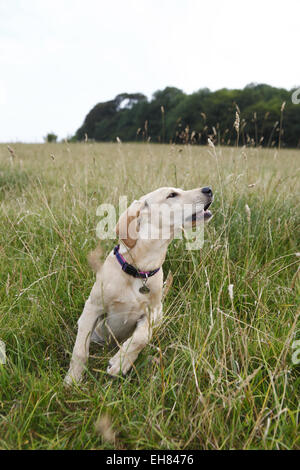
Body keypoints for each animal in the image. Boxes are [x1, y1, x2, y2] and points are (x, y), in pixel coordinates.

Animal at [65, 185, 213, 386]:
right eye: (172, 194)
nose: (209, 189)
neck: (140, 270)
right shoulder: (92, 308)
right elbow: (80, 349)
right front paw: (73, 378)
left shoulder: (153, 312)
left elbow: (141, 337)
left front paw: (120, 362)